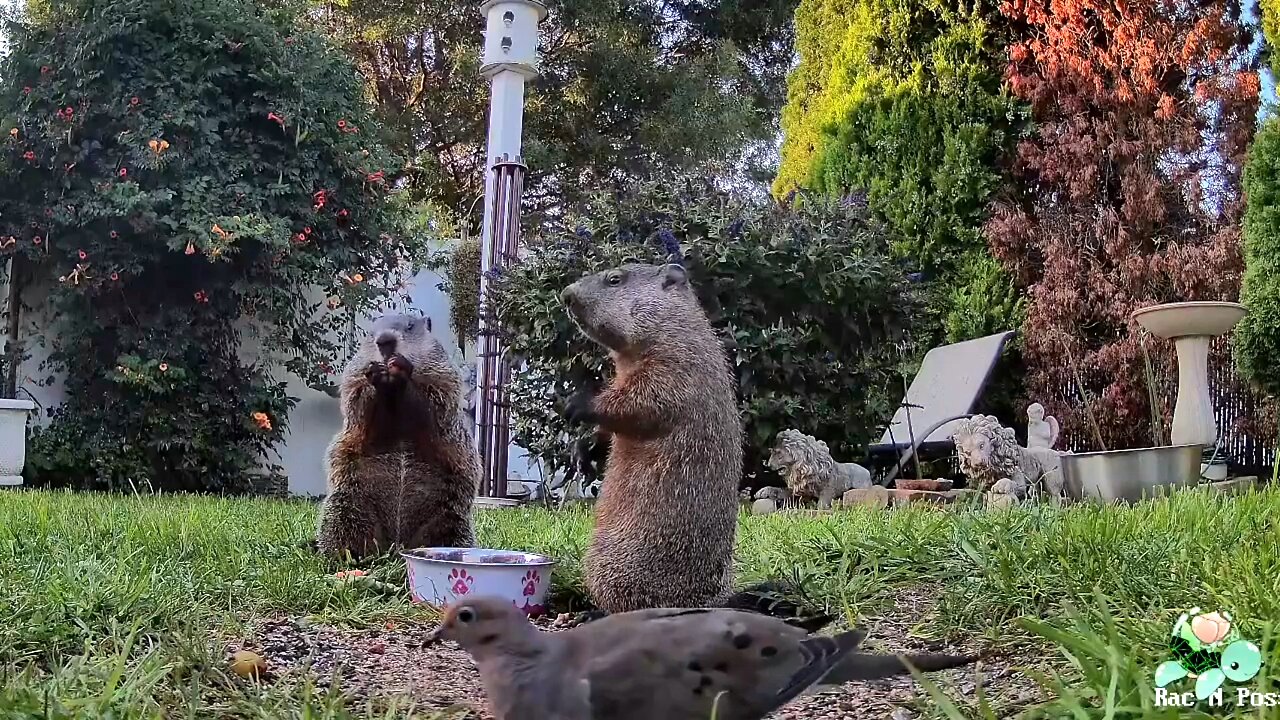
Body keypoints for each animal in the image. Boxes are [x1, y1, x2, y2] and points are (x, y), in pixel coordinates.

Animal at [315, 313, 480, 559]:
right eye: (370, 332)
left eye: (410, 326)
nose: (384, 340)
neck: (391, 391)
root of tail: (397, 544)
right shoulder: (354, 375)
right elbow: (356, 401)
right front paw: (375, 374)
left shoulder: (442, 373)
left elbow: (435, 403)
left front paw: (402, 369)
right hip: (347, 507)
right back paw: (345, 556)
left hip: (449, 516)